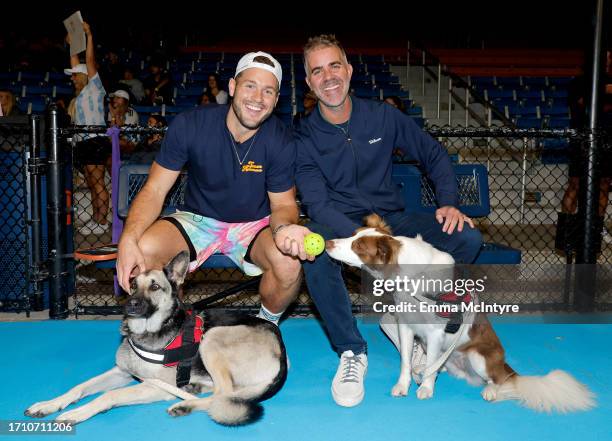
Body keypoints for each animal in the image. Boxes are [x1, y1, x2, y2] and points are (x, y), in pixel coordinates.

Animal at [25, 249, 288, 424]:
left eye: (154, 287)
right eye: (132, 284)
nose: (130, 305)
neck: (149, 331)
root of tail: (282, 355)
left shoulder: (157, 386)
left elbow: (110, 394)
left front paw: (78, 412)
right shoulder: (121, 372)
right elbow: (79, 387)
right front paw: (50, 404)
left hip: (212, 338)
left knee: (224, 394)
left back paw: (185, 403)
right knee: (223, 391)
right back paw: (193, 389)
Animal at [328, 213, 596, 412]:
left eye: (357, 246)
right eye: (353, 235)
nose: (329, 242)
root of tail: (504, 364)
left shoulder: (435, 333)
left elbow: (429, 365)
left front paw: (425, 389)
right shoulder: (406, 326)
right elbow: (405, 361)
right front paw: (403, 385)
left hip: (480, 356)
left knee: (498, 379)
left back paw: (490, 390)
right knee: (439, 365)